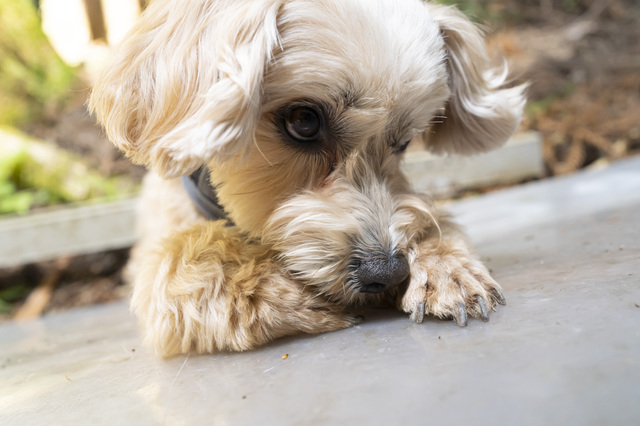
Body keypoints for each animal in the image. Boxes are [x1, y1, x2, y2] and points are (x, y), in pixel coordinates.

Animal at [91, 0, 528, 356]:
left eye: (403, 142)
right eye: (303, 121)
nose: (387, 274)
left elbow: (426, 214)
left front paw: (442, 264)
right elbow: (180, 263)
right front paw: (291, 299)